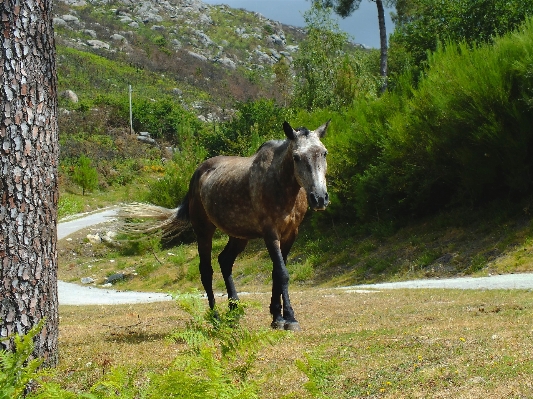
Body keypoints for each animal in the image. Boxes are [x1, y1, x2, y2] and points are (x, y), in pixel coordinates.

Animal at [120, 121, 328, 332]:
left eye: (324, 153)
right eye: (296, 157)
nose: (319, 198)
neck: (280, 184)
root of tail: (197, 175)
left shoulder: (290, 234)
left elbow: (277, 273)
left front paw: (278, 316)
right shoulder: (271, 234)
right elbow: (282, 273)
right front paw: (290, 319)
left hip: (238, 235)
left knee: (225, 261)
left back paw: (234, 309)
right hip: (204, 231)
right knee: (206, 271)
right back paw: (216, 316)